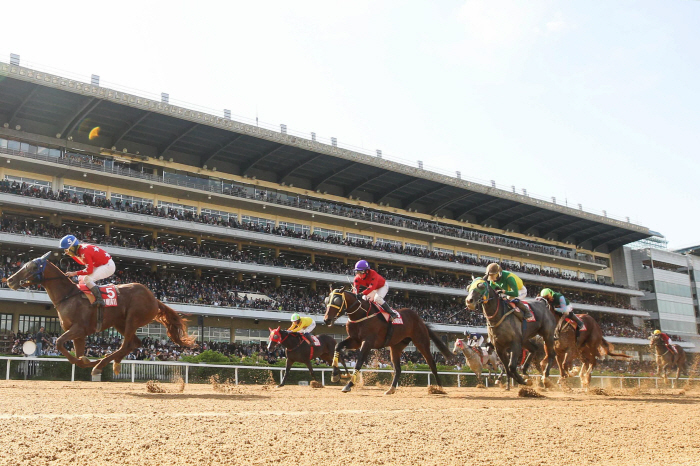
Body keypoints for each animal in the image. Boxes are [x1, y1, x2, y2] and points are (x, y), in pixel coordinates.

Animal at [6, 253, 196, 376]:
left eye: (31, 266)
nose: (10, 280)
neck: (68, 296)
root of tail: (155, 299)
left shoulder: (79, 329)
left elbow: (59, 343)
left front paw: (88, 361)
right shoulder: (78, 334)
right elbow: (75, 353)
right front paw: (84, 360)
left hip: (132, 318)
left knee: (126, 345)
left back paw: (100, 364)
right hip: (120, 323)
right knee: (134, 344)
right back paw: (111, 364)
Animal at [322, 286, 454, 396]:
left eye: (337, 301)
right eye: (327, 300)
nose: (327, 320)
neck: (361, 314)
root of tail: (420, 320)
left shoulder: (367, 342)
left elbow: (359, 362)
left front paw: (349, 385)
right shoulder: (355, 341)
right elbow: (338, 346)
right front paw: (335, 375)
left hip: (421, 342)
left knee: (432, 364)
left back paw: (439, 388)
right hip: (396, 346)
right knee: (398, 369)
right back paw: (391, 389)